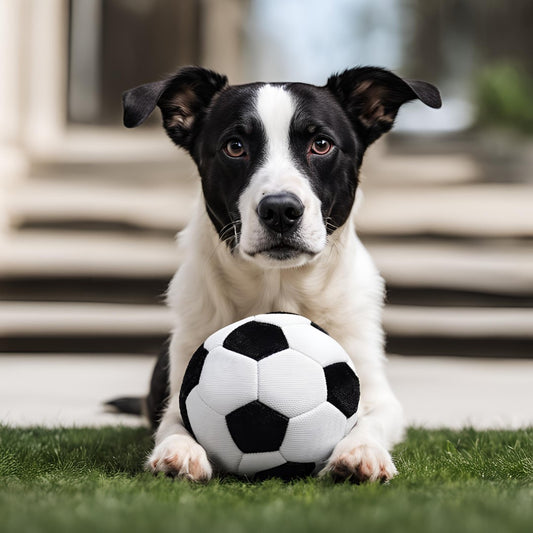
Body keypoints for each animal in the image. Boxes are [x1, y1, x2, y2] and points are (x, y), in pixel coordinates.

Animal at [121, 66, 440, 482]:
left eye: (321, 144)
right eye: (234, 146)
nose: (280, 210)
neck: (280, 289)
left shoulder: (380, 393)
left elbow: (371, 419)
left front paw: (360, 452)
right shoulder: (181, 387)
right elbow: (174, 420)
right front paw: (180, 450)